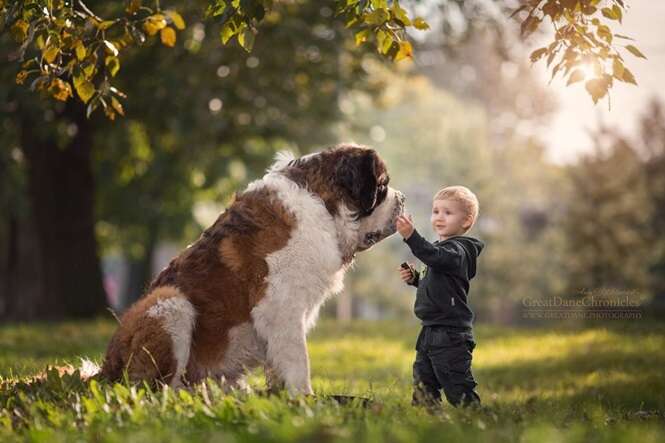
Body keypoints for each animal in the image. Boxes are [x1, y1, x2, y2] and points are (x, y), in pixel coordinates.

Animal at [99, 145, 404, 396]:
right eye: (383, 186)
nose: (402, 198)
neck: (322, 204)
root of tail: (104, 370)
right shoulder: (281, 307)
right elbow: (298, 359)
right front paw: (306, 402)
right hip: (170, 302)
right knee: (157, 389)